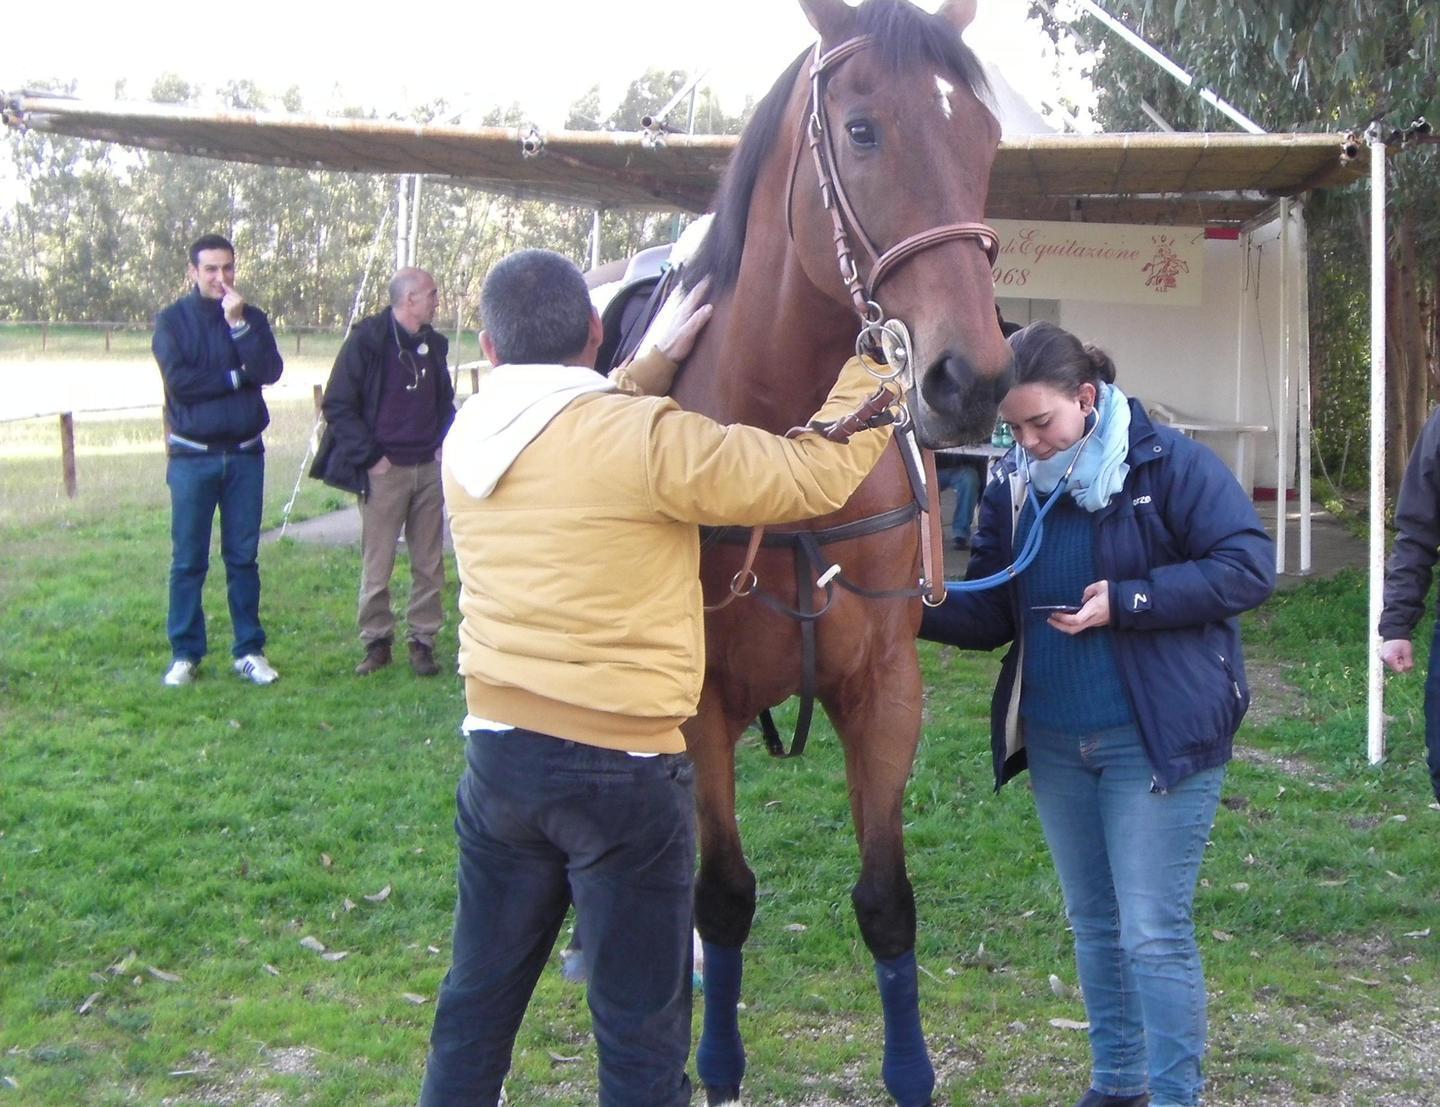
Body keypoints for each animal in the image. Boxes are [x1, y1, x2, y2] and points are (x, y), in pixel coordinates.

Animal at [668, 1, 1012, 1104]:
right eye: (862, 131)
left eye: (987, 140)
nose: (972, 378)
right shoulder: (701, 703)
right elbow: (722, 896)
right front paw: (717, 1067)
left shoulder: (887, 687)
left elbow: (886, 901)